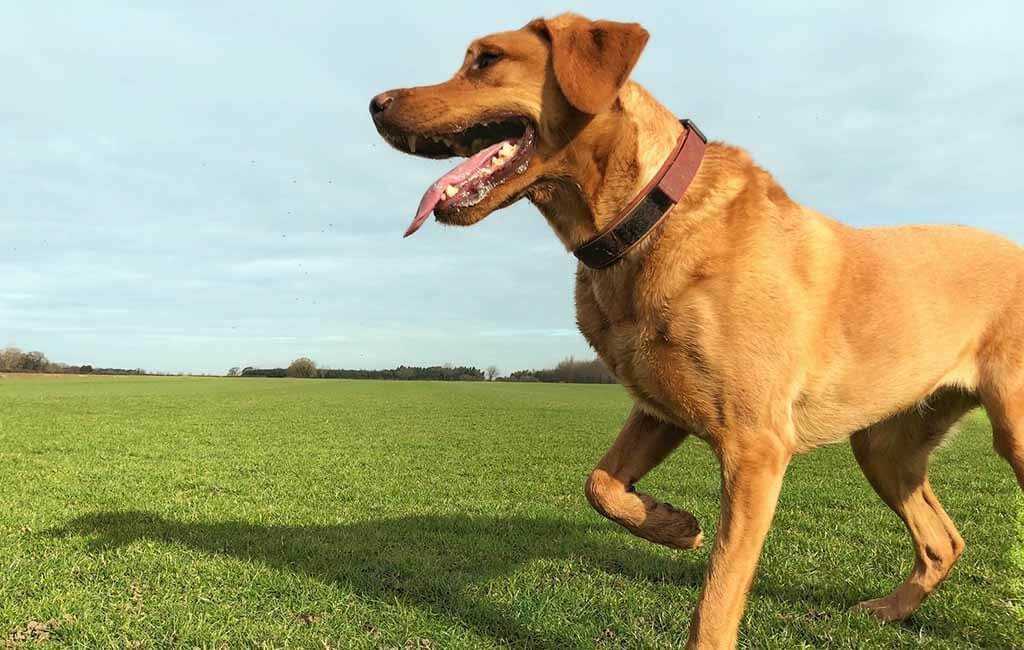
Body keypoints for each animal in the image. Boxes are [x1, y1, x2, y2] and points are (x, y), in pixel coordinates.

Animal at [368, 12, 1024, 646]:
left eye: (488, 59)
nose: (375, 102)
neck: (645, 219)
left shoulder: (755, 448)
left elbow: (717, 597)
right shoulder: (660, 408)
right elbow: (599, 483)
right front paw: (675, 525)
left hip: (1009, 429)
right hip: (885, 445)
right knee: (943, 540)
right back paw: (888, 610)